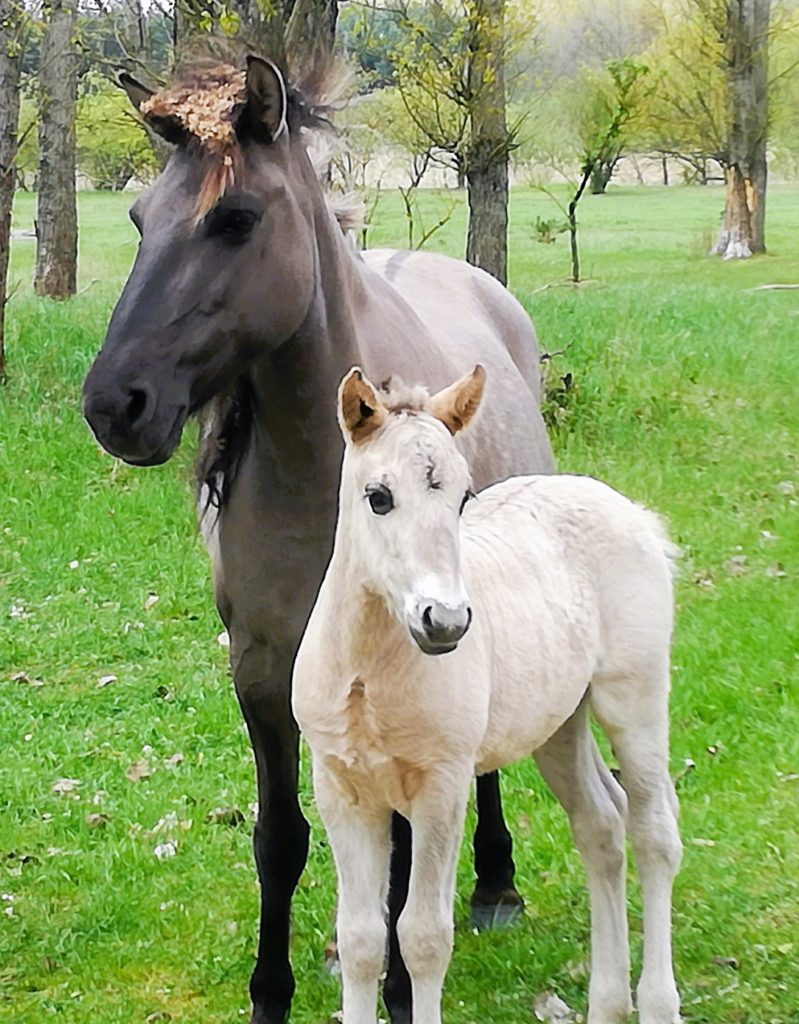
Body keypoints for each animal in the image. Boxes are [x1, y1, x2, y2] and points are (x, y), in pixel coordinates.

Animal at [81, 52, 554, 1024]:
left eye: (234, 218)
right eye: (140, 218)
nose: (115, 405)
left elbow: (406, 846)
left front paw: (405, 990)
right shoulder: (263, 669)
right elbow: (280, 839)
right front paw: (272, 993)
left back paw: (494, 883)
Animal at [293, 365, 683, 1024]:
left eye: (462, 497)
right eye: (379, 496)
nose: (445, 621)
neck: (369, 675)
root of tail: (630, 510)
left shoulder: (443, 787)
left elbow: (423, 937)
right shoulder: (341, 788)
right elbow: (362, 939)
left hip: (635, 697)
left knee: (654, 833)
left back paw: (657, 1002)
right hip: (559, 723)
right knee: (601, 825)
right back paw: (607, 1002)